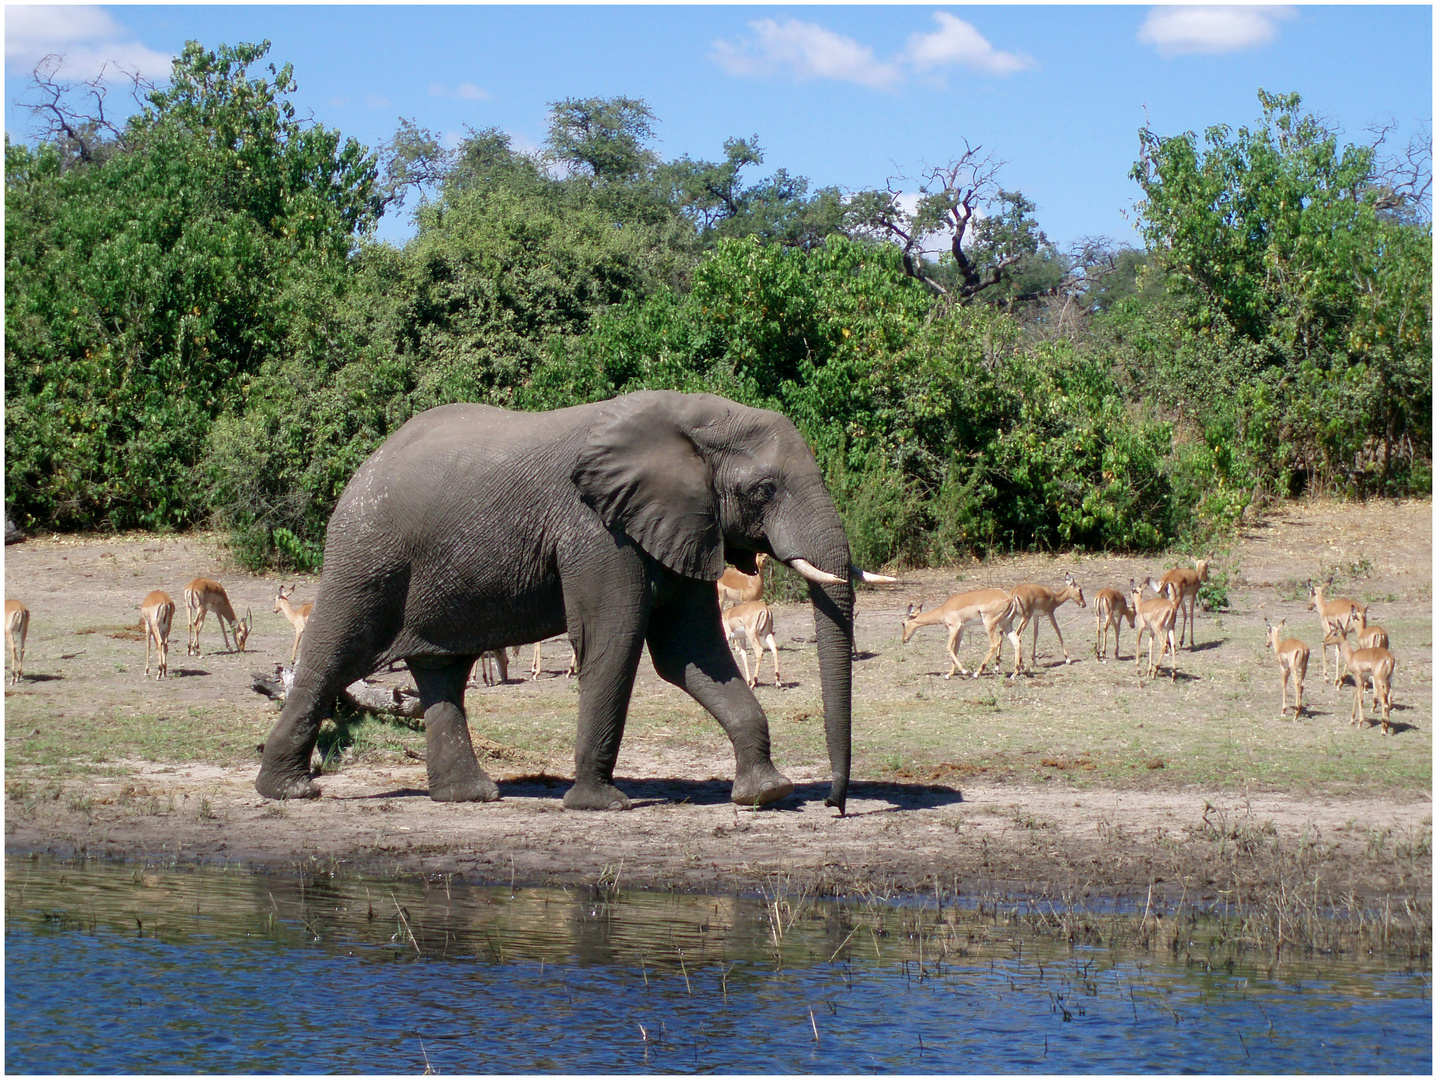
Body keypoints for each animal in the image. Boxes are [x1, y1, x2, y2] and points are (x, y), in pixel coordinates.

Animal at [252, 393, 867, 815]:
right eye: (764, 489)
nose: (834, 805)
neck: (693, 418)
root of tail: (365, 466)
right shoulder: (598, 532)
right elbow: (614, 642)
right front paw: (601, 805)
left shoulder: (682, 525)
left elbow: (690, 653)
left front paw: (768, 793)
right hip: (368, 555)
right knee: (334, 653)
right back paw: (290, 791)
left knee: (441, 669)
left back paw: (470, 797)